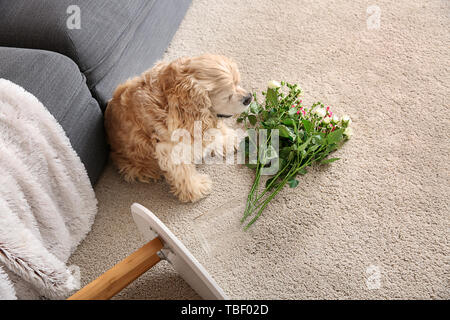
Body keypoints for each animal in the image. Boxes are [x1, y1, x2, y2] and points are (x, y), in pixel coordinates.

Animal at [106, 53, 253, 201]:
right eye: (227, 96)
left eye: (238, 83)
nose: (249, 97)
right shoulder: (169, 149)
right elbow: (184, 173)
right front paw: (196, 188)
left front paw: (227, 140)